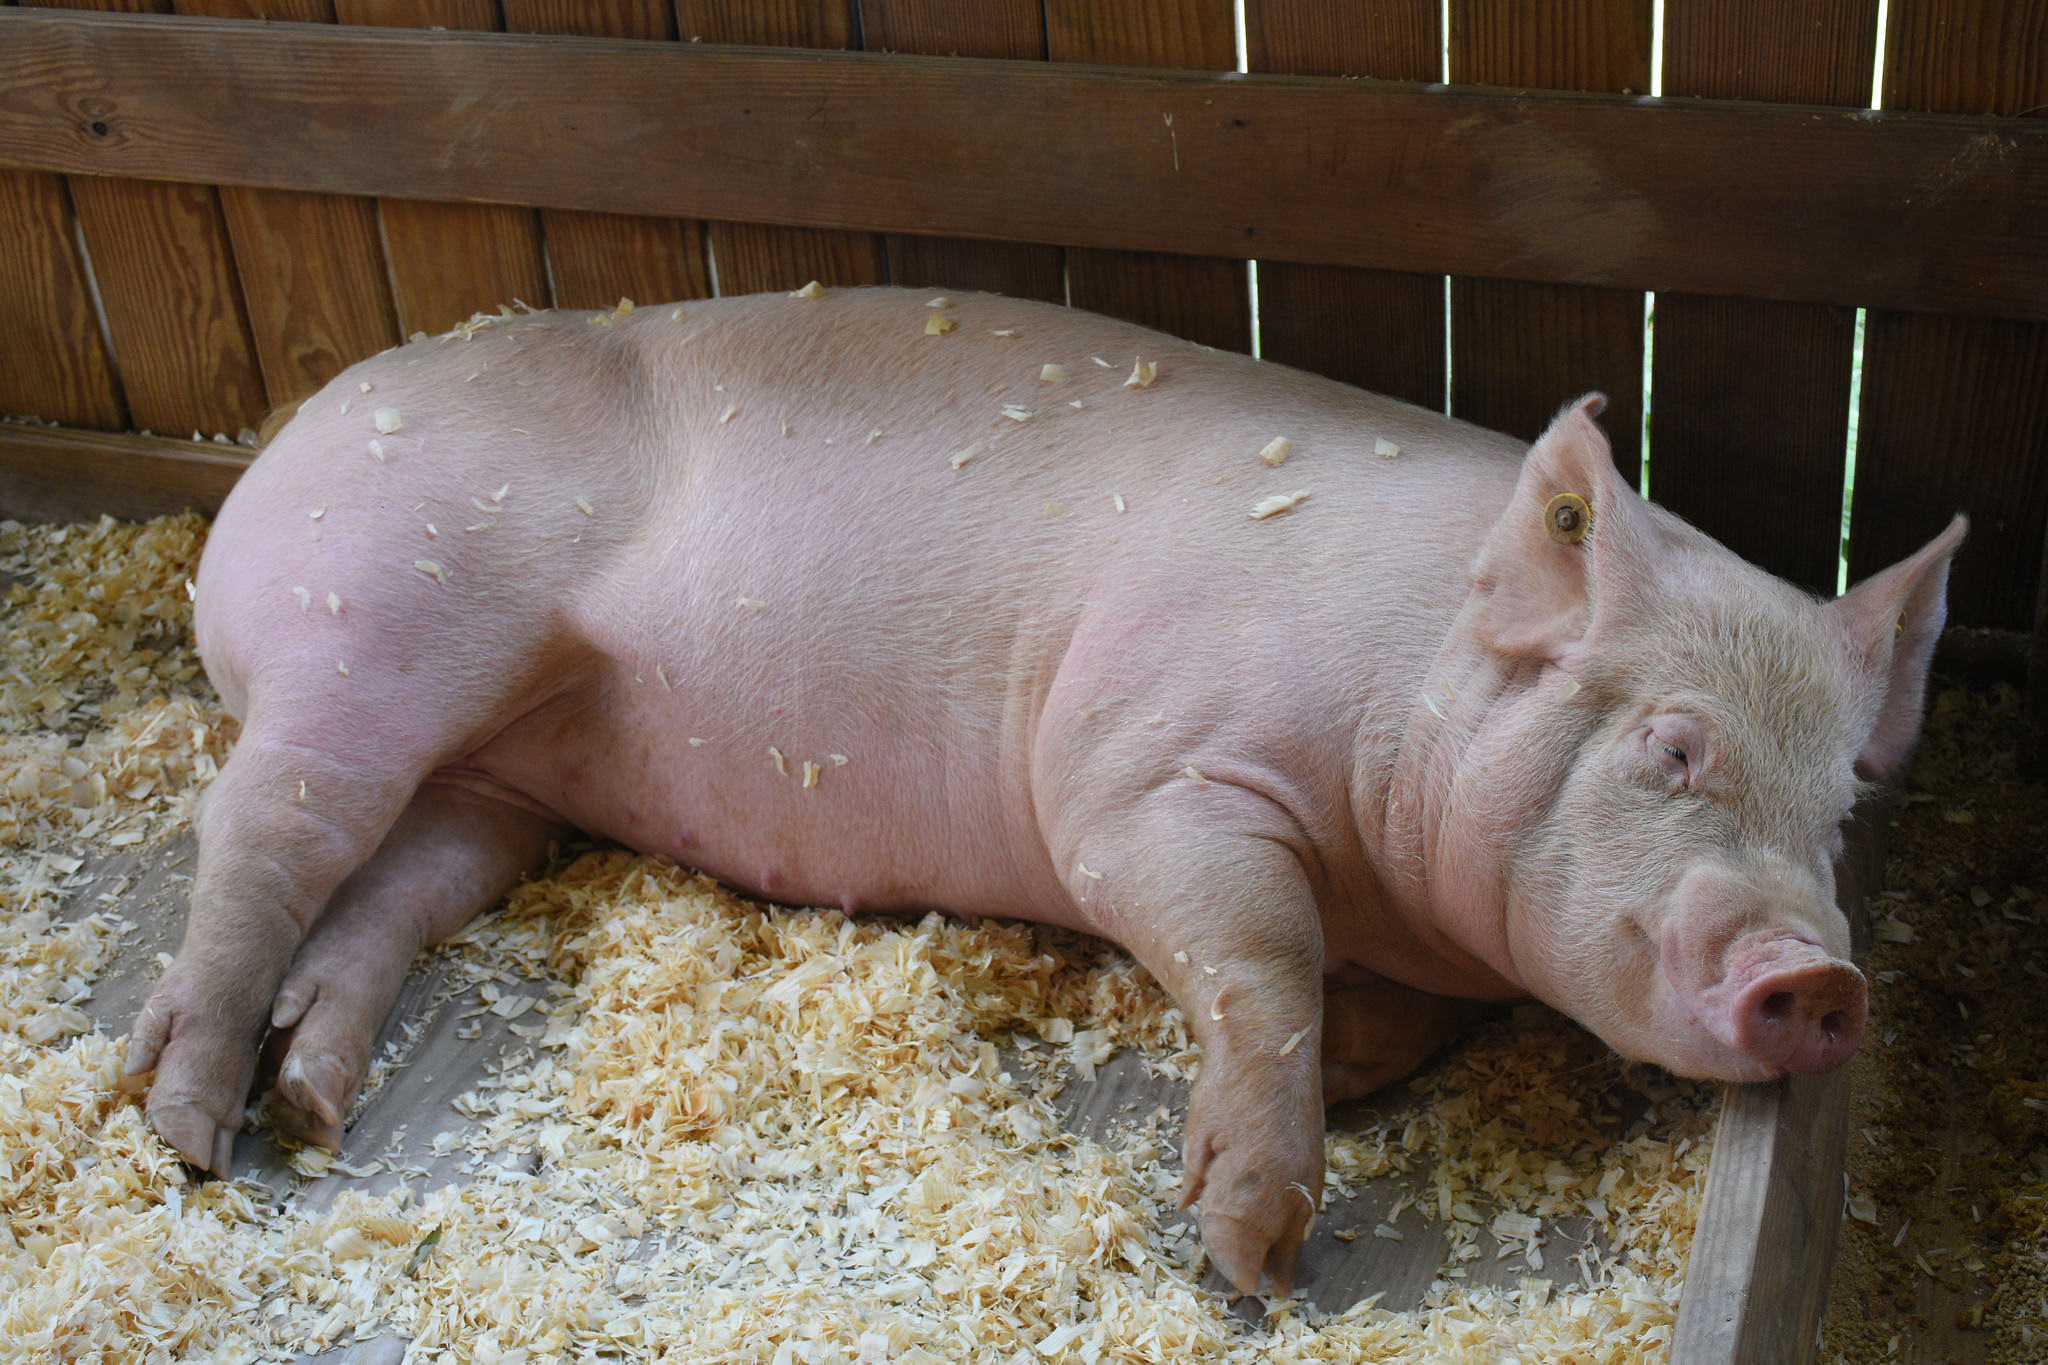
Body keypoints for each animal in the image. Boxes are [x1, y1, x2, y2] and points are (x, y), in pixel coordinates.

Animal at [128, 286, 1966, 1293]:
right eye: (1673, 748)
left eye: (1833, 818)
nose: (1819, 978)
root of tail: (273, 452)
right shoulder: (1139, 769)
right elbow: (1256, 957)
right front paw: (1243, 1243)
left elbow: (1384, 1011)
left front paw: (1348, 1080)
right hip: (375, 619)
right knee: (263, 833)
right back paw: (188, 1125)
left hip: (504, 769)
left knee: (398, 878)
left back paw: (308, 1099)